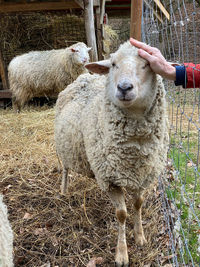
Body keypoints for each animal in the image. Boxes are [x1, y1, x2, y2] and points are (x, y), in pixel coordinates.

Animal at [54, 40, 169, 266]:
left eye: (148, 64)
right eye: (114, 64)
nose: (124, 88)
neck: (135, 148)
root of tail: (85, 77)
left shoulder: (143, 175)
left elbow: (138, 204)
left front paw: (140, 236)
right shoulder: (110, 180)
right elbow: (121, 214)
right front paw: (122, 253)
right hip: (64, 150)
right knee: (65, 170)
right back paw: (63, 190)